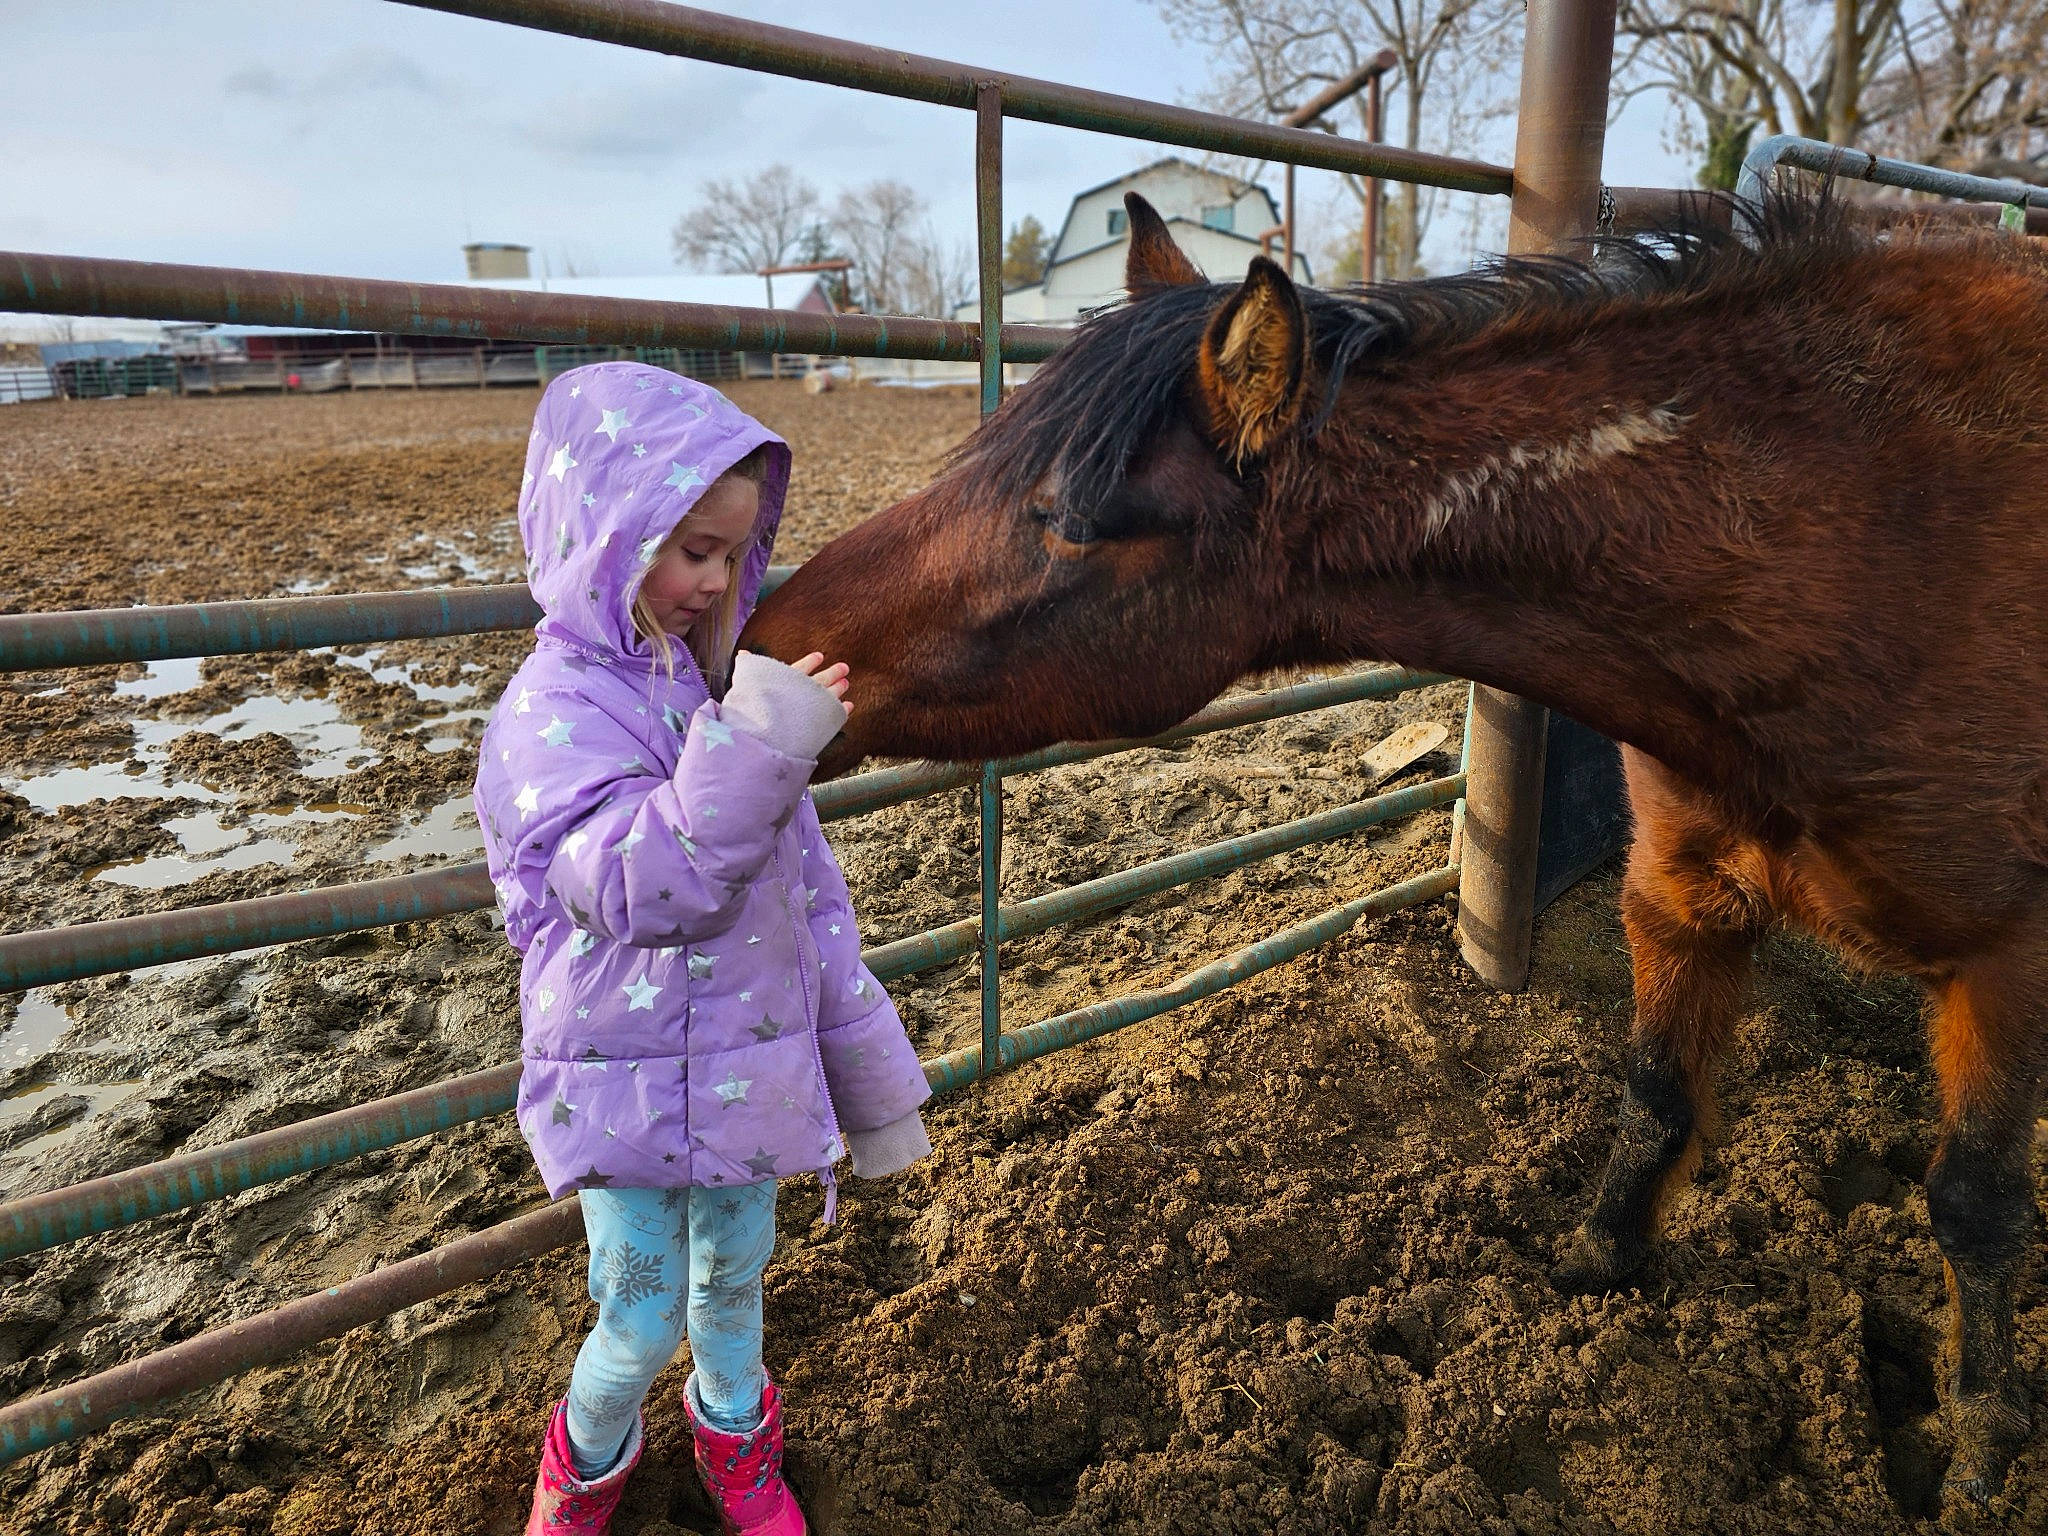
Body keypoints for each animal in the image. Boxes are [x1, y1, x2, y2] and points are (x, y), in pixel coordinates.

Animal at [740, 191, 2048, 1499]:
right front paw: (1595, 1262)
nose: (758, 637)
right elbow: (1654, 1095)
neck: (1846, 547)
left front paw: (1982, 1436)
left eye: (1065, 520)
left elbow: (1974, 1201)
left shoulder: (2007, 966)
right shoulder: (1676, 897)